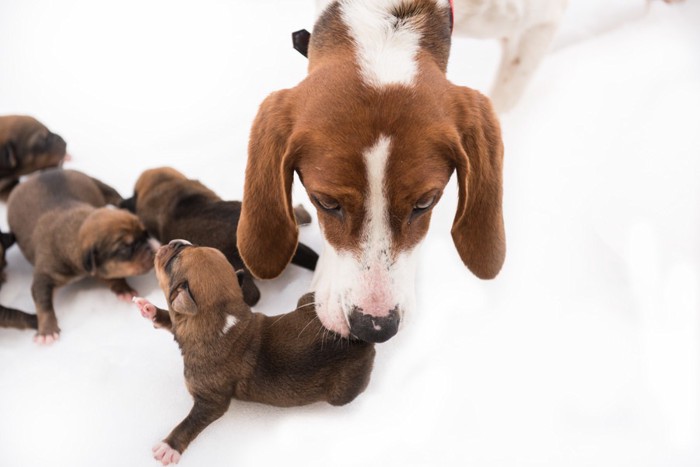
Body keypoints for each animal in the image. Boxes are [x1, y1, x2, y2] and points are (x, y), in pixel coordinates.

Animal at [8, 168, 157, 344]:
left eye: (145, 234)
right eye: (125, 248)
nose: (152, 248)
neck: (75, 228)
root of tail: (41, 173)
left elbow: (113, 277)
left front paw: (123, 289)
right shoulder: (44, 275)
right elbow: (43, 302)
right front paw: (47, 332)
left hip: (99, 185)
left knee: (115, 196)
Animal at [135, 239, 378, 466]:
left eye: (174, 259)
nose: (177, 242)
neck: (221, 317)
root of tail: (360, 342)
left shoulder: (212, 401)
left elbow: (192, 422)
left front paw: (168, 447)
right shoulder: (182, 326)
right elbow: (170, 320)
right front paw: (149, 309)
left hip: (342, 392)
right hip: (307, 303)